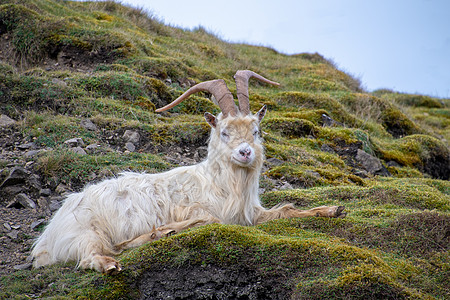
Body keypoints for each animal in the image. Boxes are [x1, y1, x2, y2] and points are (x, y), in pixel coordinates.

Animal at [31, 71, 346, 274]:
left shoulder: (251, 214)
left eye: (256, 130)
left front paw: (333, 209)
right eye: (224, 132)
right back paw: (122, 258)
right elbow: (210, 220)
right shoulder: (195, 208)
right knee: (92, 256)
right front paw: (171, 229)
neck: (221, 184)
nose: (246, 152)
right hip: (86, 232)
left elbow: (286, 211)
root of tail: (46, 239)